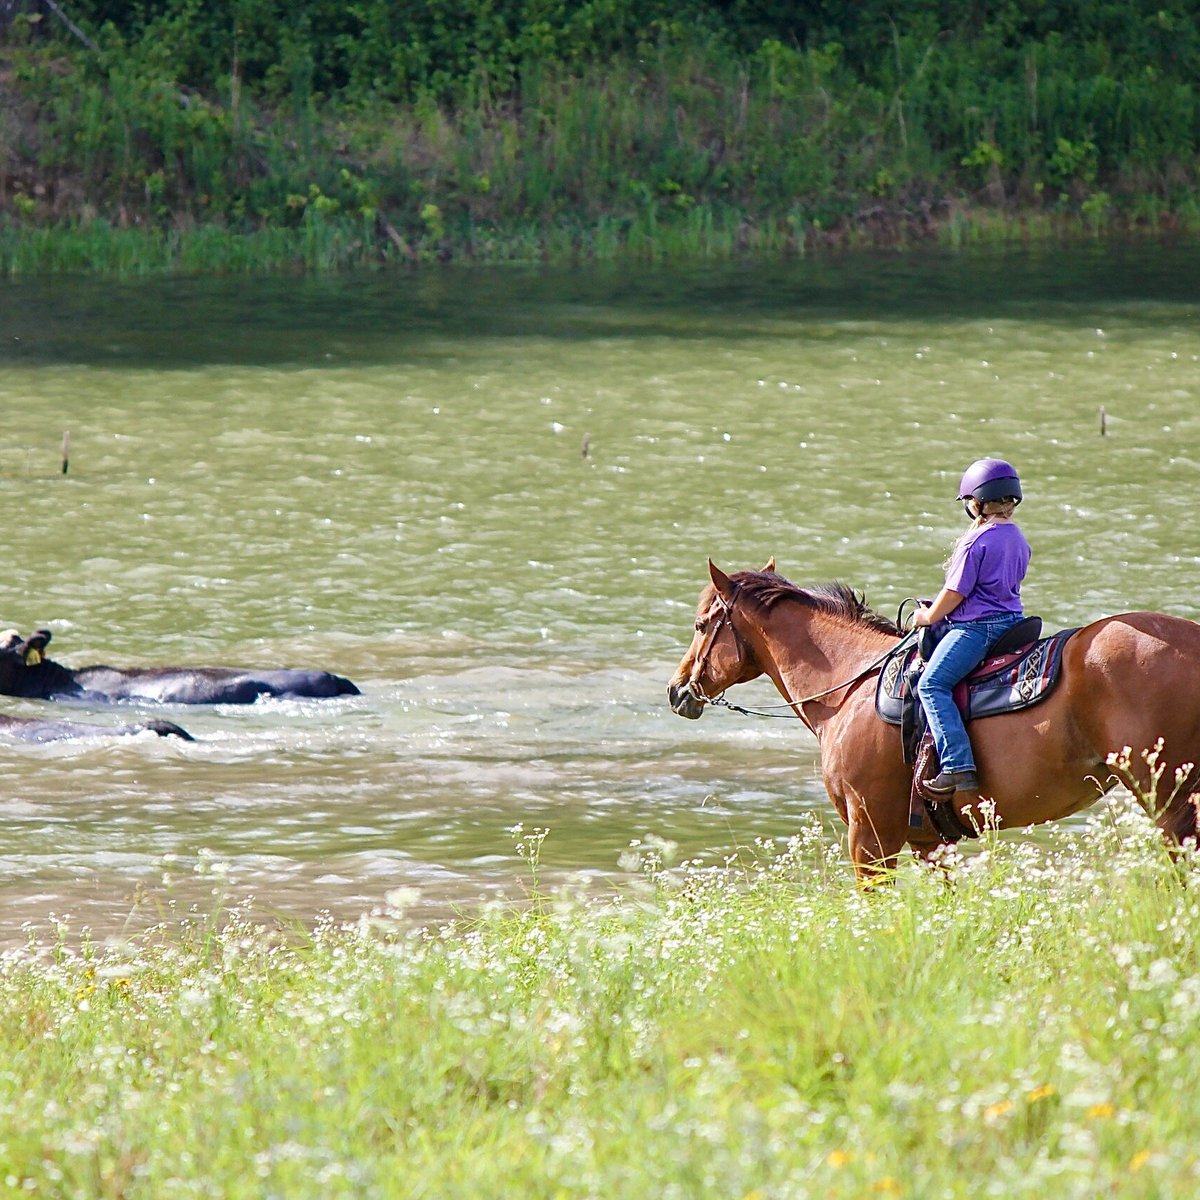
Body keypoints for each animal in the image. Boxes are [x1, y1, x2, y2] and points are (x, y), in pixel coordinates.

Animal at [667, 556, 1200, 878]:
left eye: (700, 624)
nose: (677, 689)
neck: (850, 685)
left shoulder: (870, 835)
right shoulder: (929, 842)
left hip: (1168, 798)